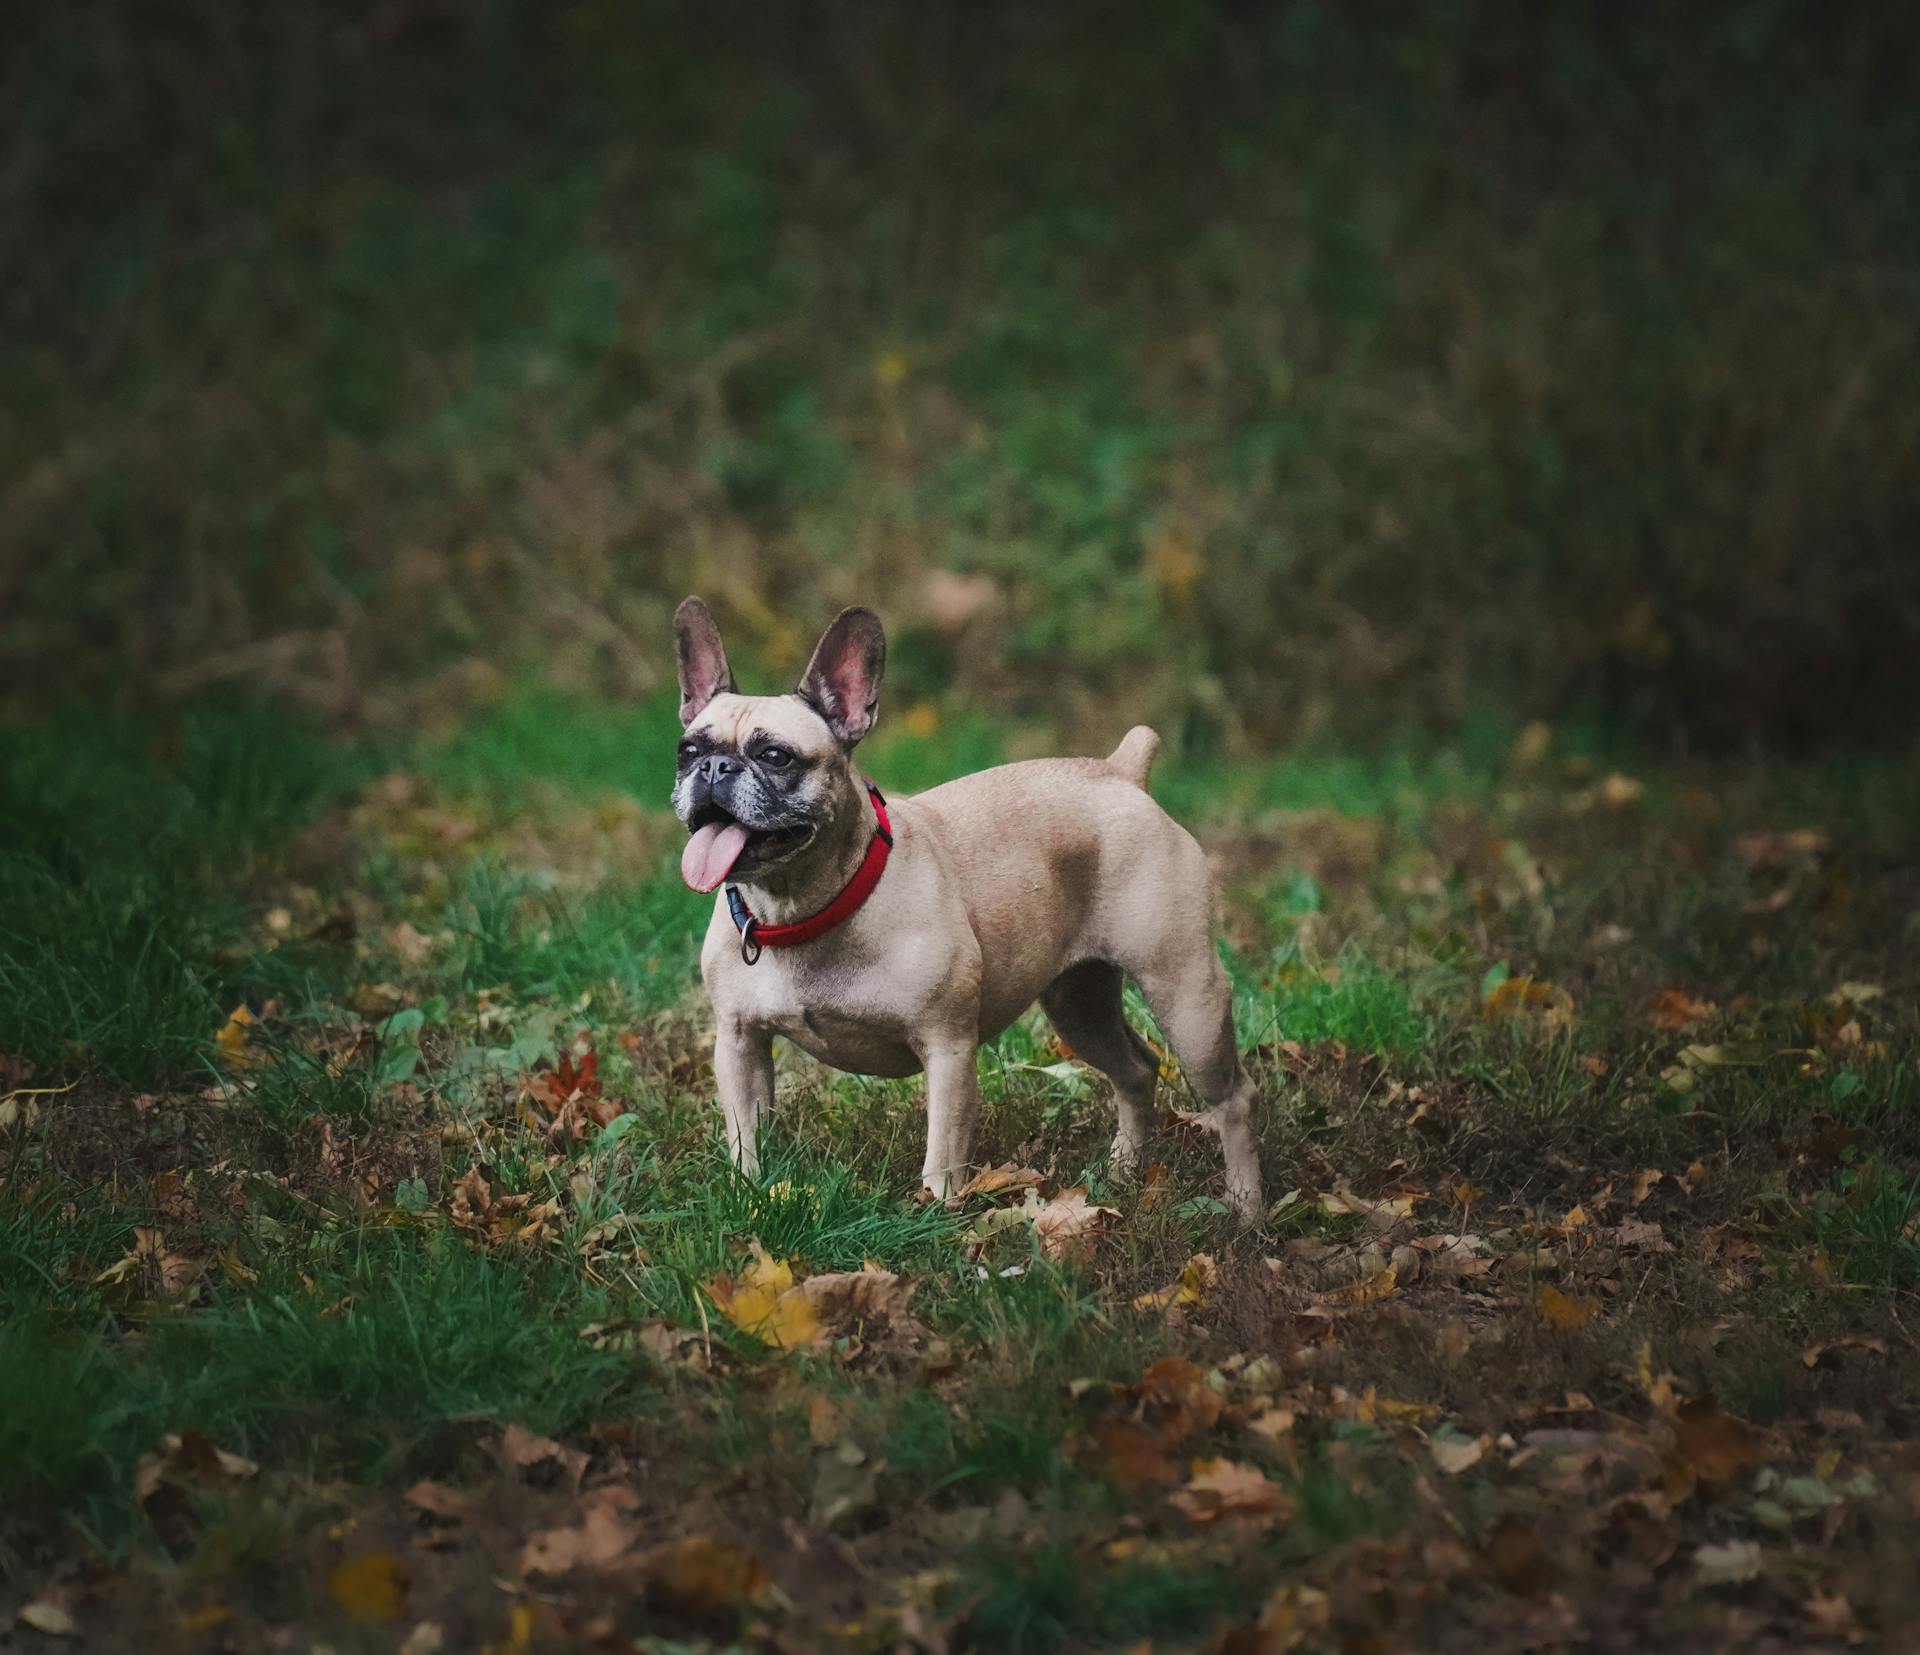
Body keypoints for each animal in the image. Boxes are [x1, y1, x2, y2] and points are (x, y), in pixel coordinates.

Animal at [672, 595, 1259, 1221]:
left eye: (775, 756)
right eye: (688, 751)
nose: (713, 768)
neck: (801, 907)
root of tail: (1122, 773)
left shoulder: (947, 1047)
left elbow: (943, 1150)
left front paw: (936, 1211)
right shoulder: (740, 1044)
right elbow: (746, 1134)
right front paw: (750, 1197)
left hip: (1185, 995)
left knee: (1233, 1097)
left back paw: (1246, 1208)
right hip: (1079, 1004)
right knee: (1136, 1072)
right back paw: (1122, 1172)